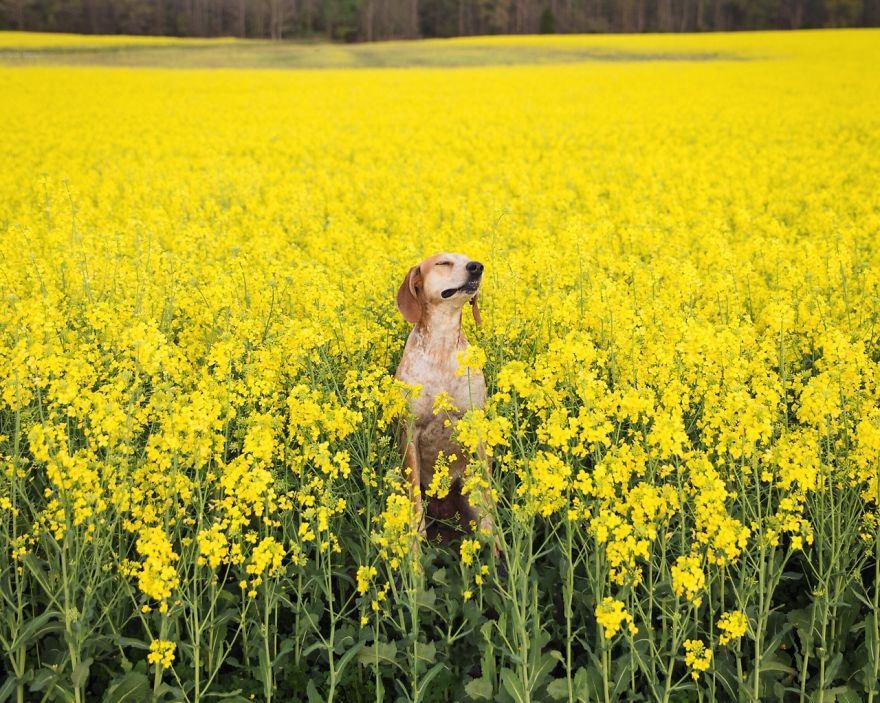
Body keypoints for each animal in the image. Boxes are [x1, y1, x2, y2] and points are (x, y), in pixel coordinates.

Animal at [394, 253, 496, 544]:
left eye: (469, 259)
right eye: (442, 263)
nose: (477, 267)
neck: (442, 343)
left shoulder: (474, 424)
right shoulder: (410, 432)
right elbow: (415, 503)